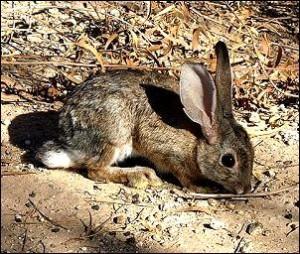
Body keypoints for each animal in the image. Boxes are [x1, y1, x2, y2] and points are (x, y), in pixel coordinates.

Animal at [36, 40, 254, 193]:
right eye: (228, 160)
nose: (245, 189)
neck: (197, 141)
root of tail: (68, 142)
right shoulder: (168, 154)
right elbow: (183, 176)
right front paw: (203, 187)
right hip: (115, 135)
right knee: (96, 170)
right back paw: (141, 175)